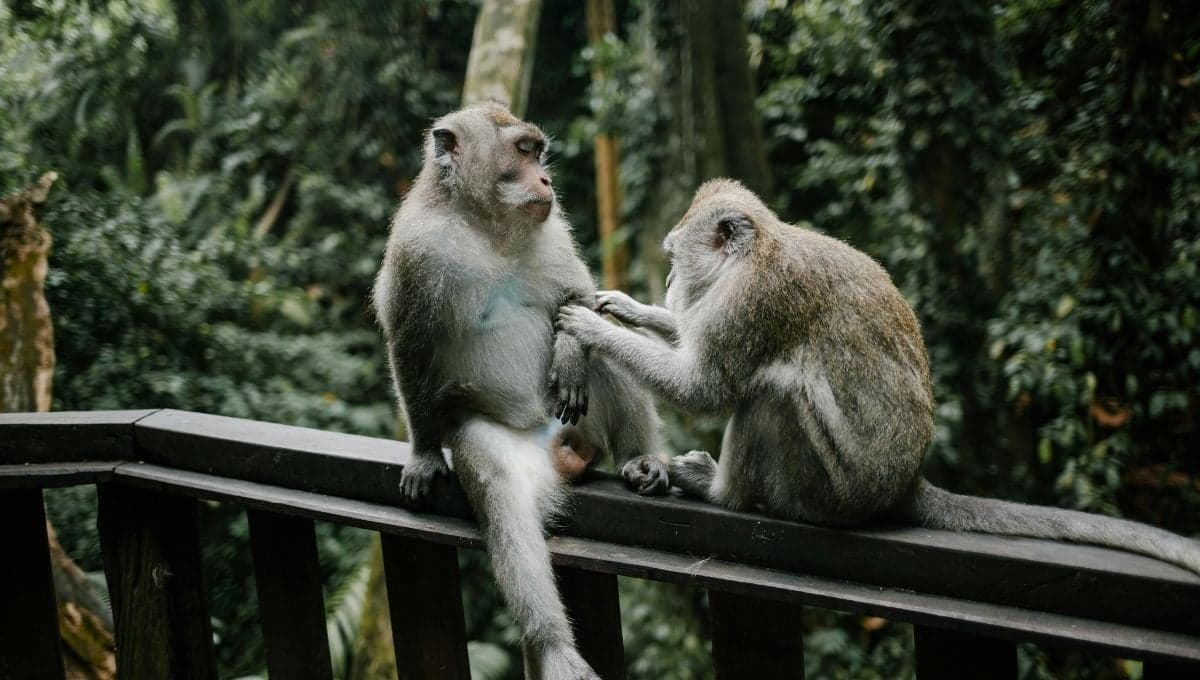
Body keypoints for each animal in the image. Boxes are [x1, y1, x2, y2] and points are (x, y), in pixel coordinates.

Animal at [373, 102, 664, 680]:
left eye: (537, 152)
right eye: (523, 152)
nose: (547, 179)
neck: (486, 227)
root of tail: (560, 447)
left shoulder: (551, 228)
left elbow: (578, 298)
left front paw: (570, 352)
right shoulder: (416, 249)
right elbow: (410, 345)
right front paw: (423, 453)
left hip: (581, 419)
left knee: (607, 350)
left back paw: (640, 457)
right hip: (499, 442)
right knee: (503, 500)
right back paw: (552, 643)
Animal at [556, 178, 1200, 575]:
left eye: (673, 258)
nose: (667, 282)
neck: (757, 252)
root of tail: (906, 481)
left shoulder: (753, 301)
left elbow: (706, 389)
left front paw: (590, 327)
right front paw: (626, 307)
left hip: (832, 490)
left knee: (772, 391)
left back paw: (722, 492)